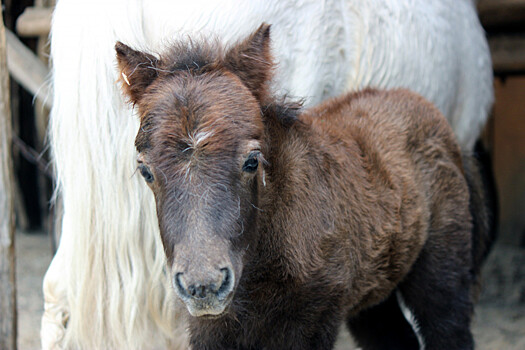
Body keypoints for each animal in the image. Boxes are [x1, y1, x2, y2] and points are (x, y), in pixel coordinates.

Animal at [43, 1, 494, 348]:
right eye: (145, 170)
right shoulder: (211, 327)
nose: (205, 285)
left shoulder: (312, 320)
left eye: (252, 161)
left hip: (440, 275)